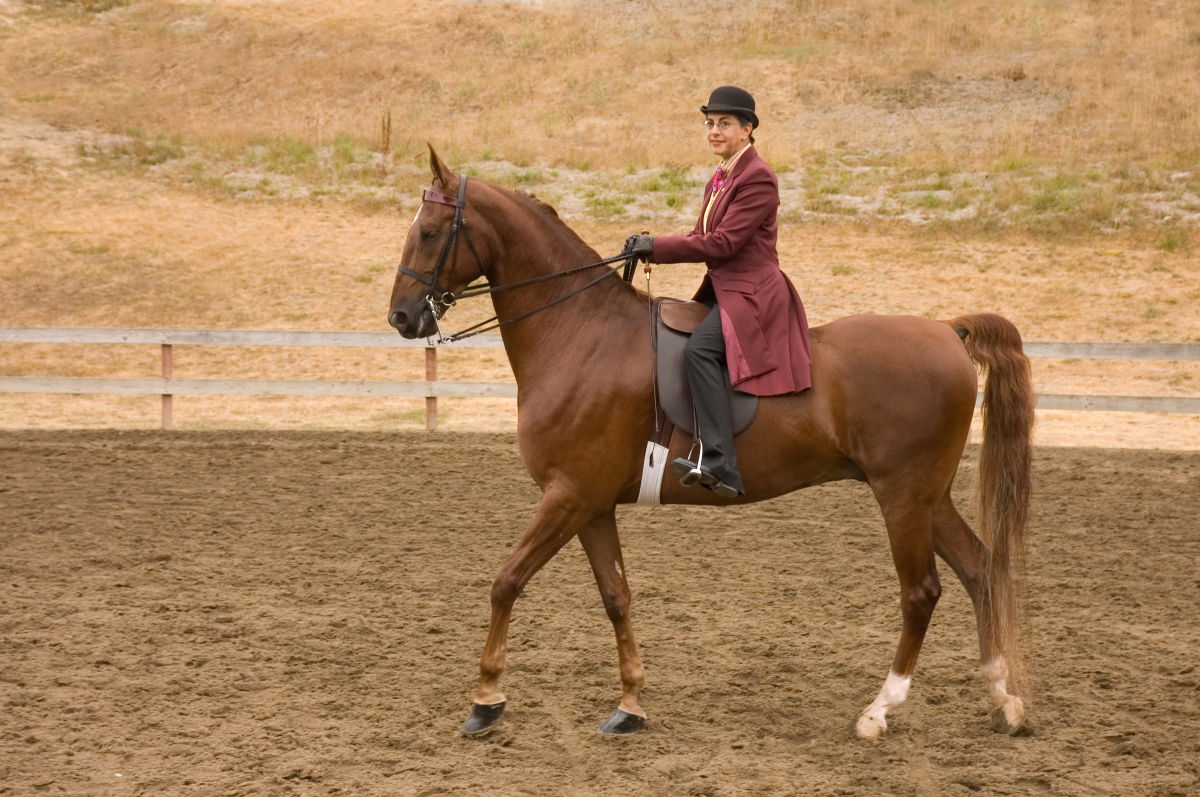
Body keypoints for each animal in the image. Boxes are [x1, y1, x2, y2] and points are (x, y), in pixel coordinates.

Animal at [388, 146, 1036, 739]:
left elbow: (506, 581)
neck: (581, 333)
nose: (401, 317)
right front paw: (630, 704)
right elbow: (616, 596)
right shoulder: (591, 504)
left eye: (428, 232)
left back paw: (879, 711)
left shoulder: (567, 496)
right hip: (929, 498)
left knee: (921, 592)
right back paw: (1003, 699)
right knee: (981, 571)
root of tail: (948, 330)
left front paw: (486, 700)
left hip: (901, 496)